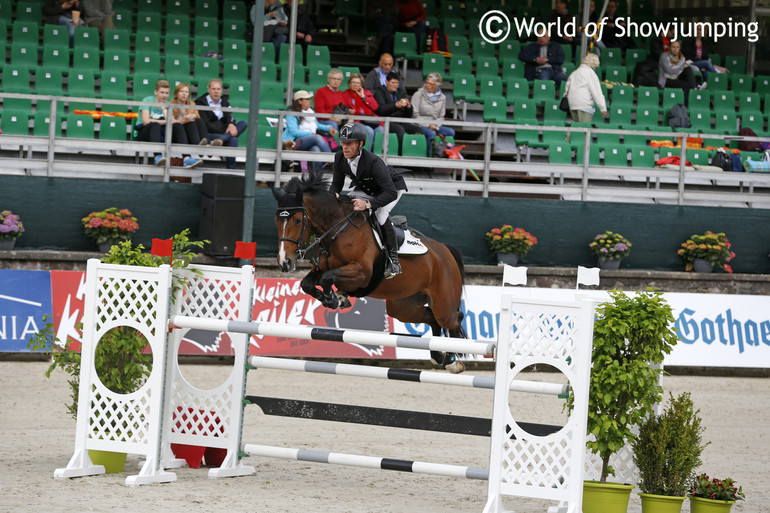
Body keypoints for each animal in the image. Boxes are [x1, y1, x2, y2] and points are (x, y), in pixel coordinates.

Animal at [272, 171, 472, 372]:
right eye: (276, 221)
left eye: (298, 220)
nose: (284, 262)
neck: (338, 229)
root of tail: (445, 250)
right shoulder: (323, 268)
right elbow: (307, 283)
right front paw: (332, 298)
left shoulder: (362, 274)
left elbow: (327, 279)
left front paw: (334, 299)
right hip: (403, 306)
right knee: (432, 318)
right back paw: (439, 357)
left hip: (442, 302)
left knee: (454, 319)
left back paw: (452, 361)